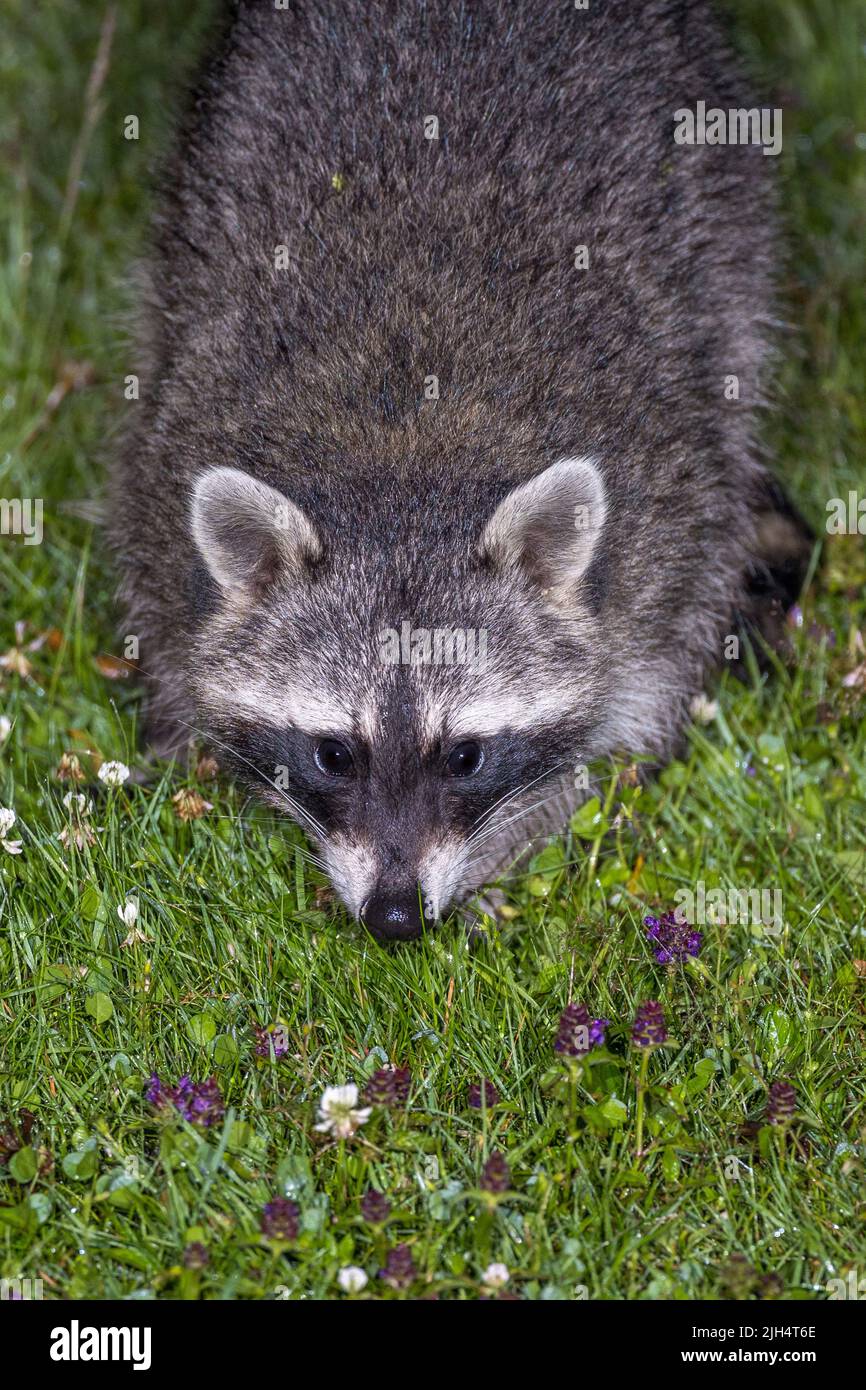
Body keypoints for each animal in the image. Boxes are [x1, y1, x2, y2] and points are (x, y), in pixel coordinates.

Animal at [110, 0, 812, 939]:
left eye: (467, 755)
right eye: (334, 753)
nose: (395, 917)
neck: (407, 457)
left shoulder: (669, 528)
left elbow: (634, 712)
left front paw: (513, 839)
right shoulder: (166, 462)